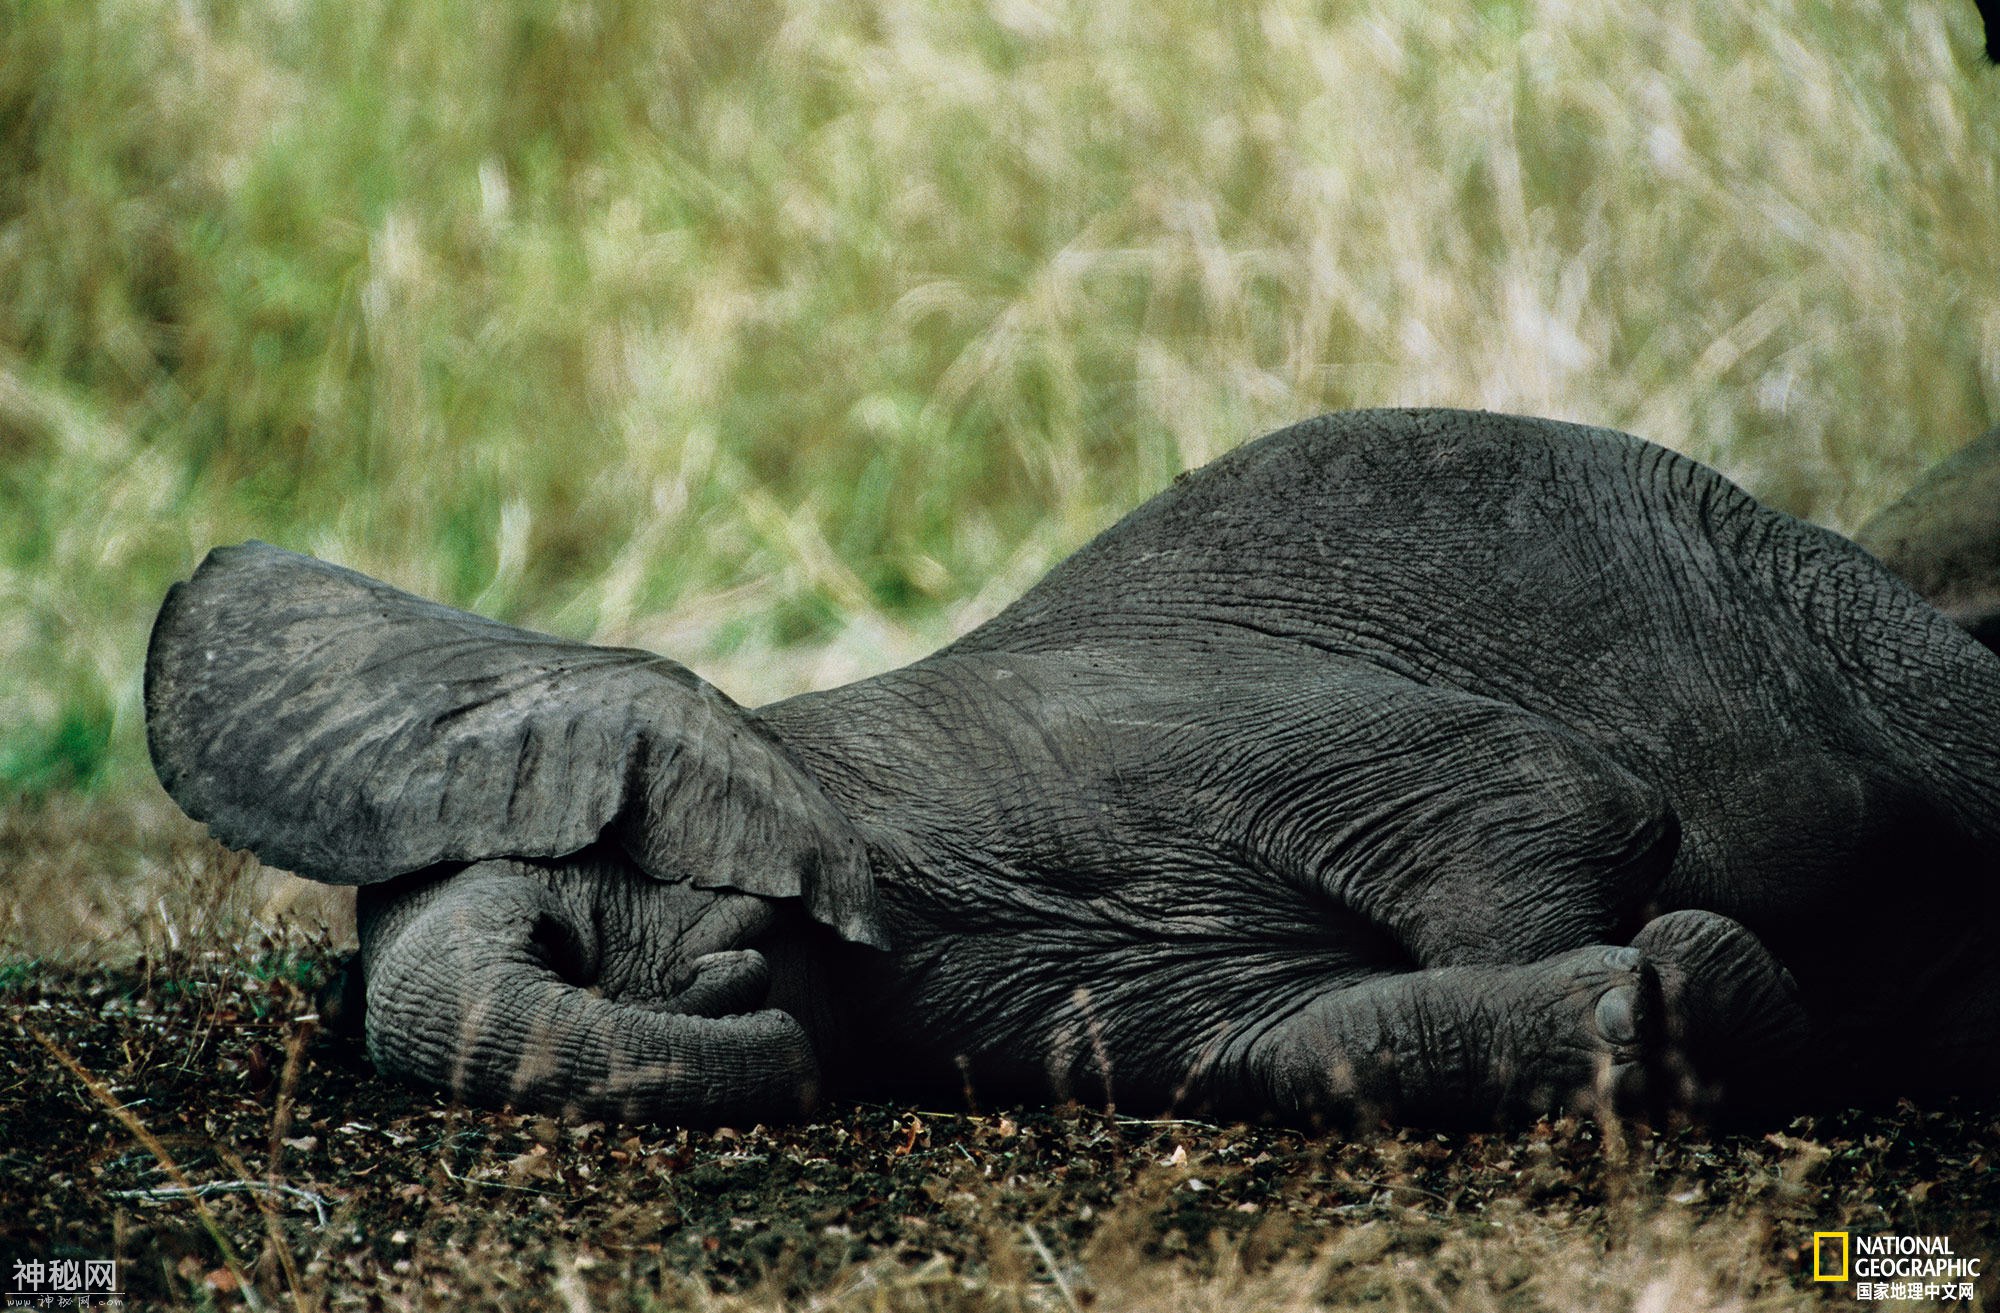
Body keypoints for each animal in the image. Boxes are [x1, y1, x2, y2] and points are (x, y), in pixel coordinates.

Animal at [148, 408, 2000, 1128]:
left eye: (556, 911)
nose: (727, 973)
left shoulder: (1119, 721)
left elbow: (1552, 798)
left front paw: (1681, 1003)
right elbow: (1313, 1046)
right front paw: (1664, 1009)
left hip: (1863, 627)